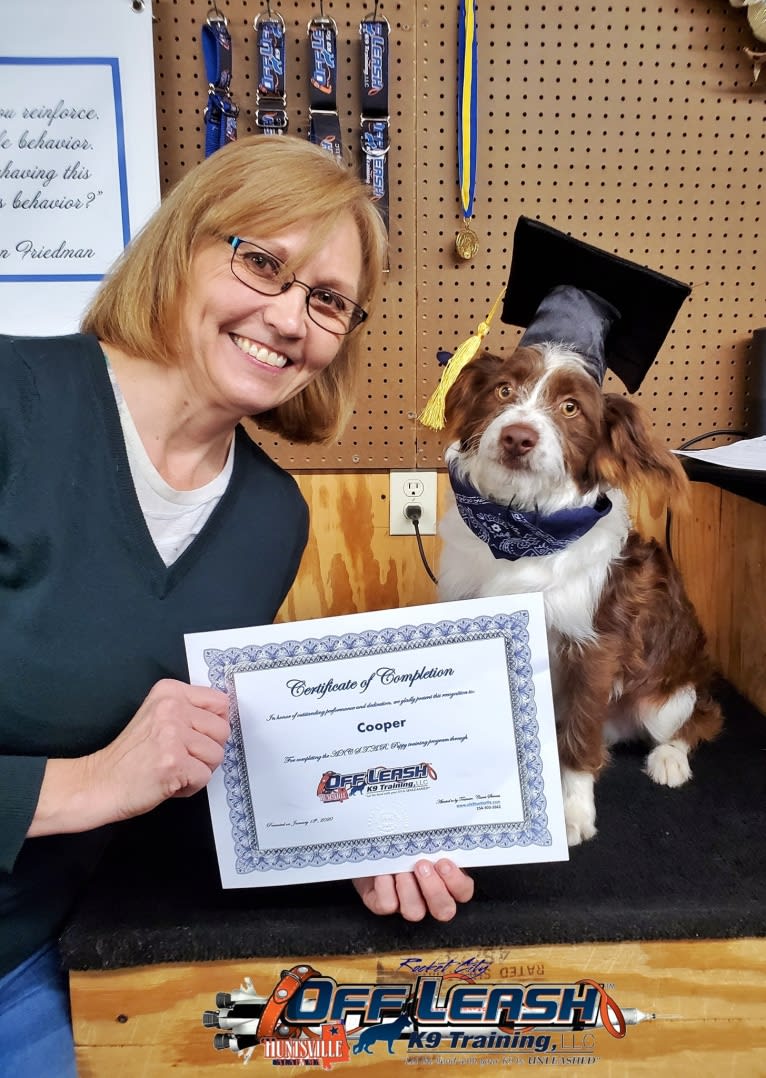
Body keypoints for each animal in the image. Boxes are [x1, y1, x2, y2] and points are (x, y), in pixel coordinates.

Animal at [439, 340, 723, 845]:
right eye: (503, 390)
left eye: (570, 408)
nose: (517, 437)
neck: (518, 529)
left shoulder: (593, 646)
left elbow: (577, 740)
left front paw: (571, 810)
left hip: (666, 699)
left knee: (697, 720)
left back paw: (669, 759)